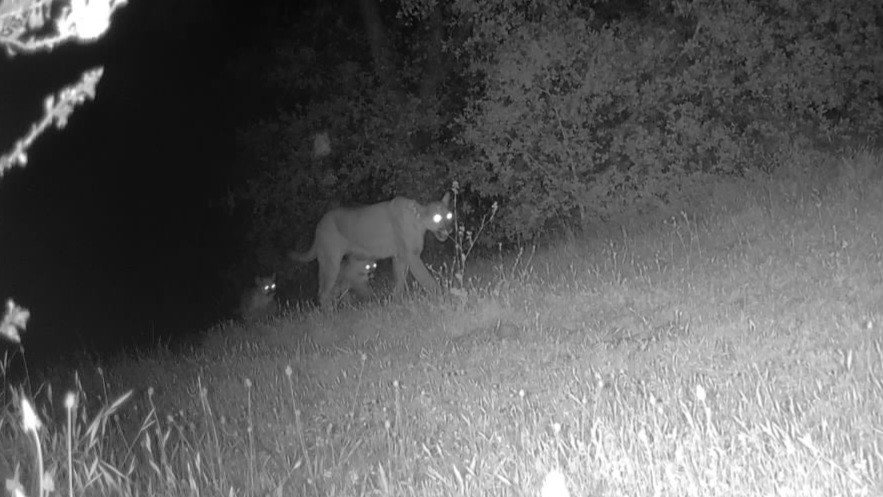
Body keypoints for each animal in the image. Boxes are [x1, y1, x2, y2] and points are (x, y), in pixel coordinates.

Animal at [290, 193, 453, 309]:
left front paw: (396, 302)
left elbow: (400, 280)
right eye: (437, 217)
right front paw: (442, 296)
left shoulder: (400, 257)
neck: (418, 222)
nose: (449, 229)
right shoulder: (412, 256)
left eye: (449, 215)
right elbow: (426, 278)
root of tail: (319, 225)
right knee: (324, 292)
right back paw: (330, 315)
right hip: (331, 261)